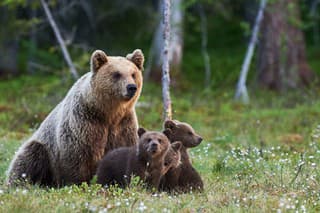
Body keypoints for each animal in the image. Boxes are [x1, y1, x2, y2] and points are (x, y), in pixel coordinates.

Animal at [6, 48, 144, 186]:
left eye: (133, 74)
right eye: (116, 74)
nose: (131, 87)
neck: (108, 113)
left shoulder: (124, 126)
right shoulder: (84, 123)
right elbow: (77, 159)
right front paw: (79, 183)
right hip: (43, 149)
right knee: (28, 158)